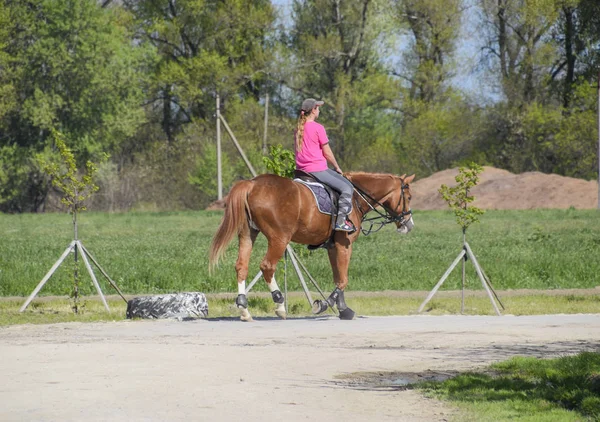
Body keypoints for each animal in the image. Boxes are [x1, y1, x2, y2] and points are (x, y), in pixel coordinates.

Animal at [209, 171, 414, 320]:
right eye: (409, 197)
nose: (409, 225)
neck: (356, 197)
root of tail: (252, 183)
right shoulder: (344, 245)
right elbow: (343, 279)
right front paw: (324, 305)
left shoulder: (332, 246)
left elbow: (338, 276)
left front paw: (343, 310)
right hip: (279, 238)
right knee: (267, 266)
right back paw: (280, 304)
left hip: (247, 234)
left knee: (241, 266)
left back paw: (244, 309)